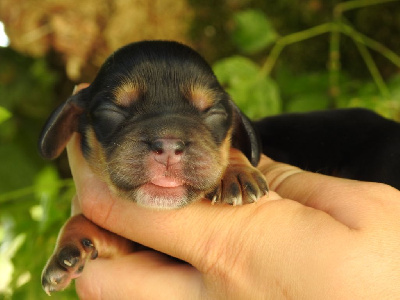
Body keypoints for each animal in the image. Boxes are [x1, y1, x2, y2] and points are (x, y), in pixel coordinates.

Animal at [39, 40, 268, 296]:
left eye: (213, 112)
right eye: (112, 111)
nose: (168, 145)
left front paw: (235, 173)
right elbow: (81, 222)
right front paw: (70, 248)